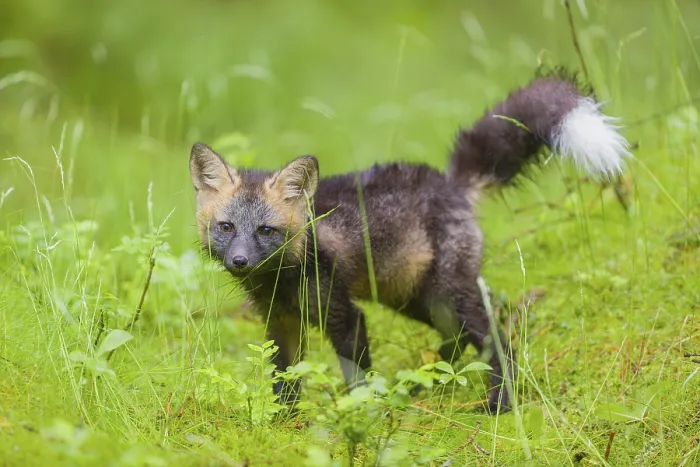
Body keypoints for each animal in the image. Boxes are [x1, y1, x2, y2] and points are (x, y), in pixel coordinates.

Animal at [189, 69, 630, 413]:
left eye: (266, 231)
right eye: (226, 227)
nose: (240, 261)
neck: (283, 280)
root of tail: (449, 182)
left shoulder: (346, 316)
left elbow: (356, 379)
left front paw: (362, 418)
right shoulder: (279, 322)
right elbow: (285, 382)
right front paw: (285, 425)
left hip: (448, 293)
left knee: (498, 338)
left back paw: (499, 405)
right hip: (415, 297)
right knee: (459, 340)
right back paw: (423, 384)